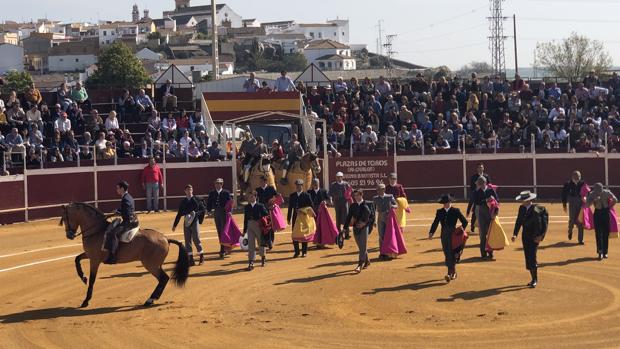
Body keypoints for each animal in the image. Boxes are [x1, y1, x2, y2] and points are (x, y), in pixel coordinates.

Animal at [62, 203, 191, 306]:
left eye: (65, 219)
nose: (69, 235)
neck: (96, 230)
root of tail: (166, 239)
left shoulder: (94, 260)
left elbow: (92, 280)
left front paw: (86, 301)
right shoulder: (90, 255)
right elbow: (77, 259)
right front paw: (83, 278)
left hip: (151, 265)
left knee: (163, 278)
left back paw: (150, 300)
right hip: (154, 265)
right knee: (163, 279)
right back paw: (152, 299)